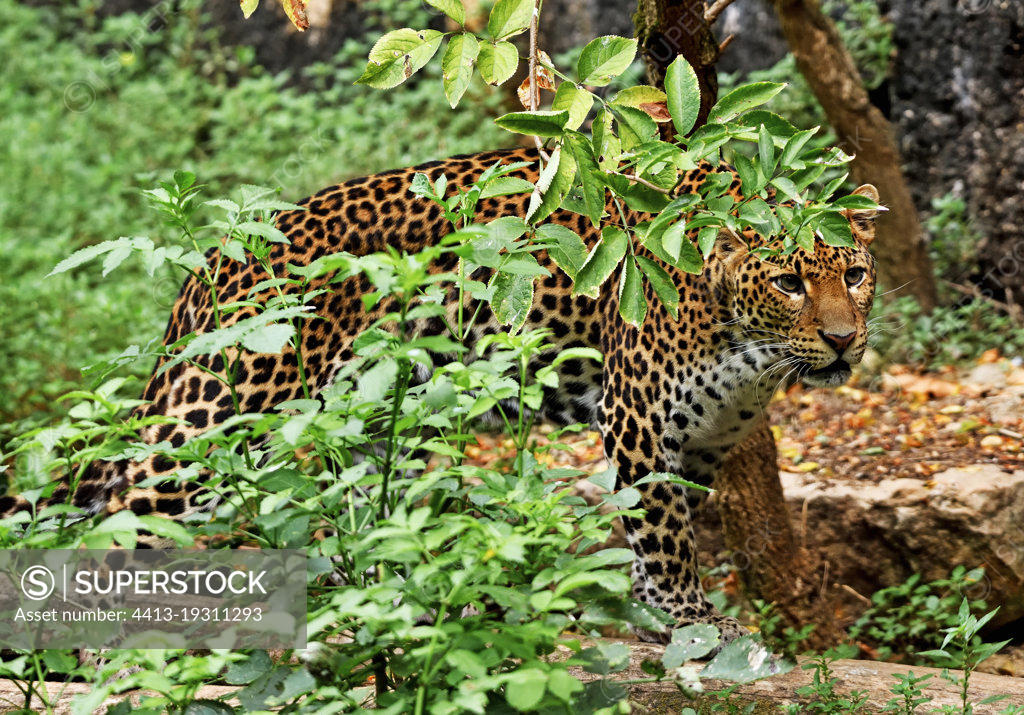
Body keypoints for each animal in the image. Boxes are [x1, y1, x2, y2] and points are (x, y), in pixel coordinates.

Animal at [2, 144, 880, 639]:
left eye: (856, 275)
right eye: (792, 282)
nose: (844, 339)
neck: (751, 350)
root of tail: (219, 254)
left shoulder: (700, 438)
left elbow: (669, 527)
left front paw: (647, 609)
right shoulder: (636, 417)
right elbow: (662, 532)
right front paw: (689, 619)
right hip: (225, 412)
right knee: (127, 509)